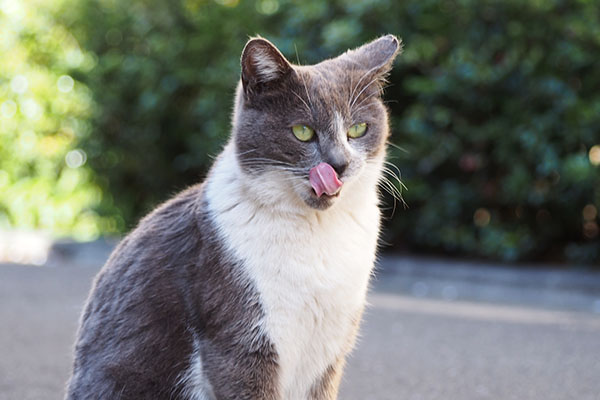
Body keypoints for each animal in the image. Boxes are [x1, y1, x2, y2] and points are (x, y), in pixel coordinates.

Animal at [65, 34, 400, 400]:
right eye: (302, 131)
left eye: (358, 129)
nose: (339, 164)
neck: (318, 231)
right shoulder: (240, 340)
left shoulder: (330, 348)